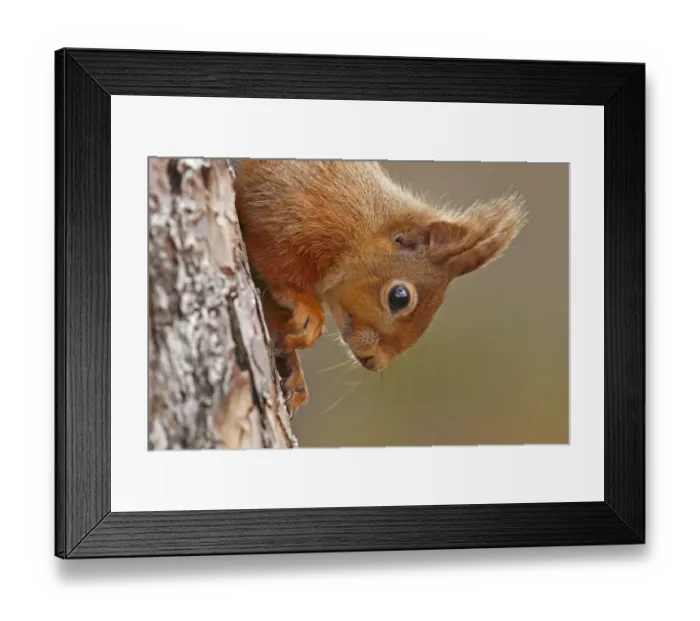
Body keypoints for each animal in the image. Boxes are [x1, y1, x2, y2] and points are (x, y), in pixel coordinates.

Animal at [233, 159, 527, 414]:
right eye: (399, 297)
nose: (374, 362)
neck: (364, 227)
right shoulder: (289, 203)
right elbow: (275, 257)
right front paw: (309, 311)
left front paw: (293, 371)